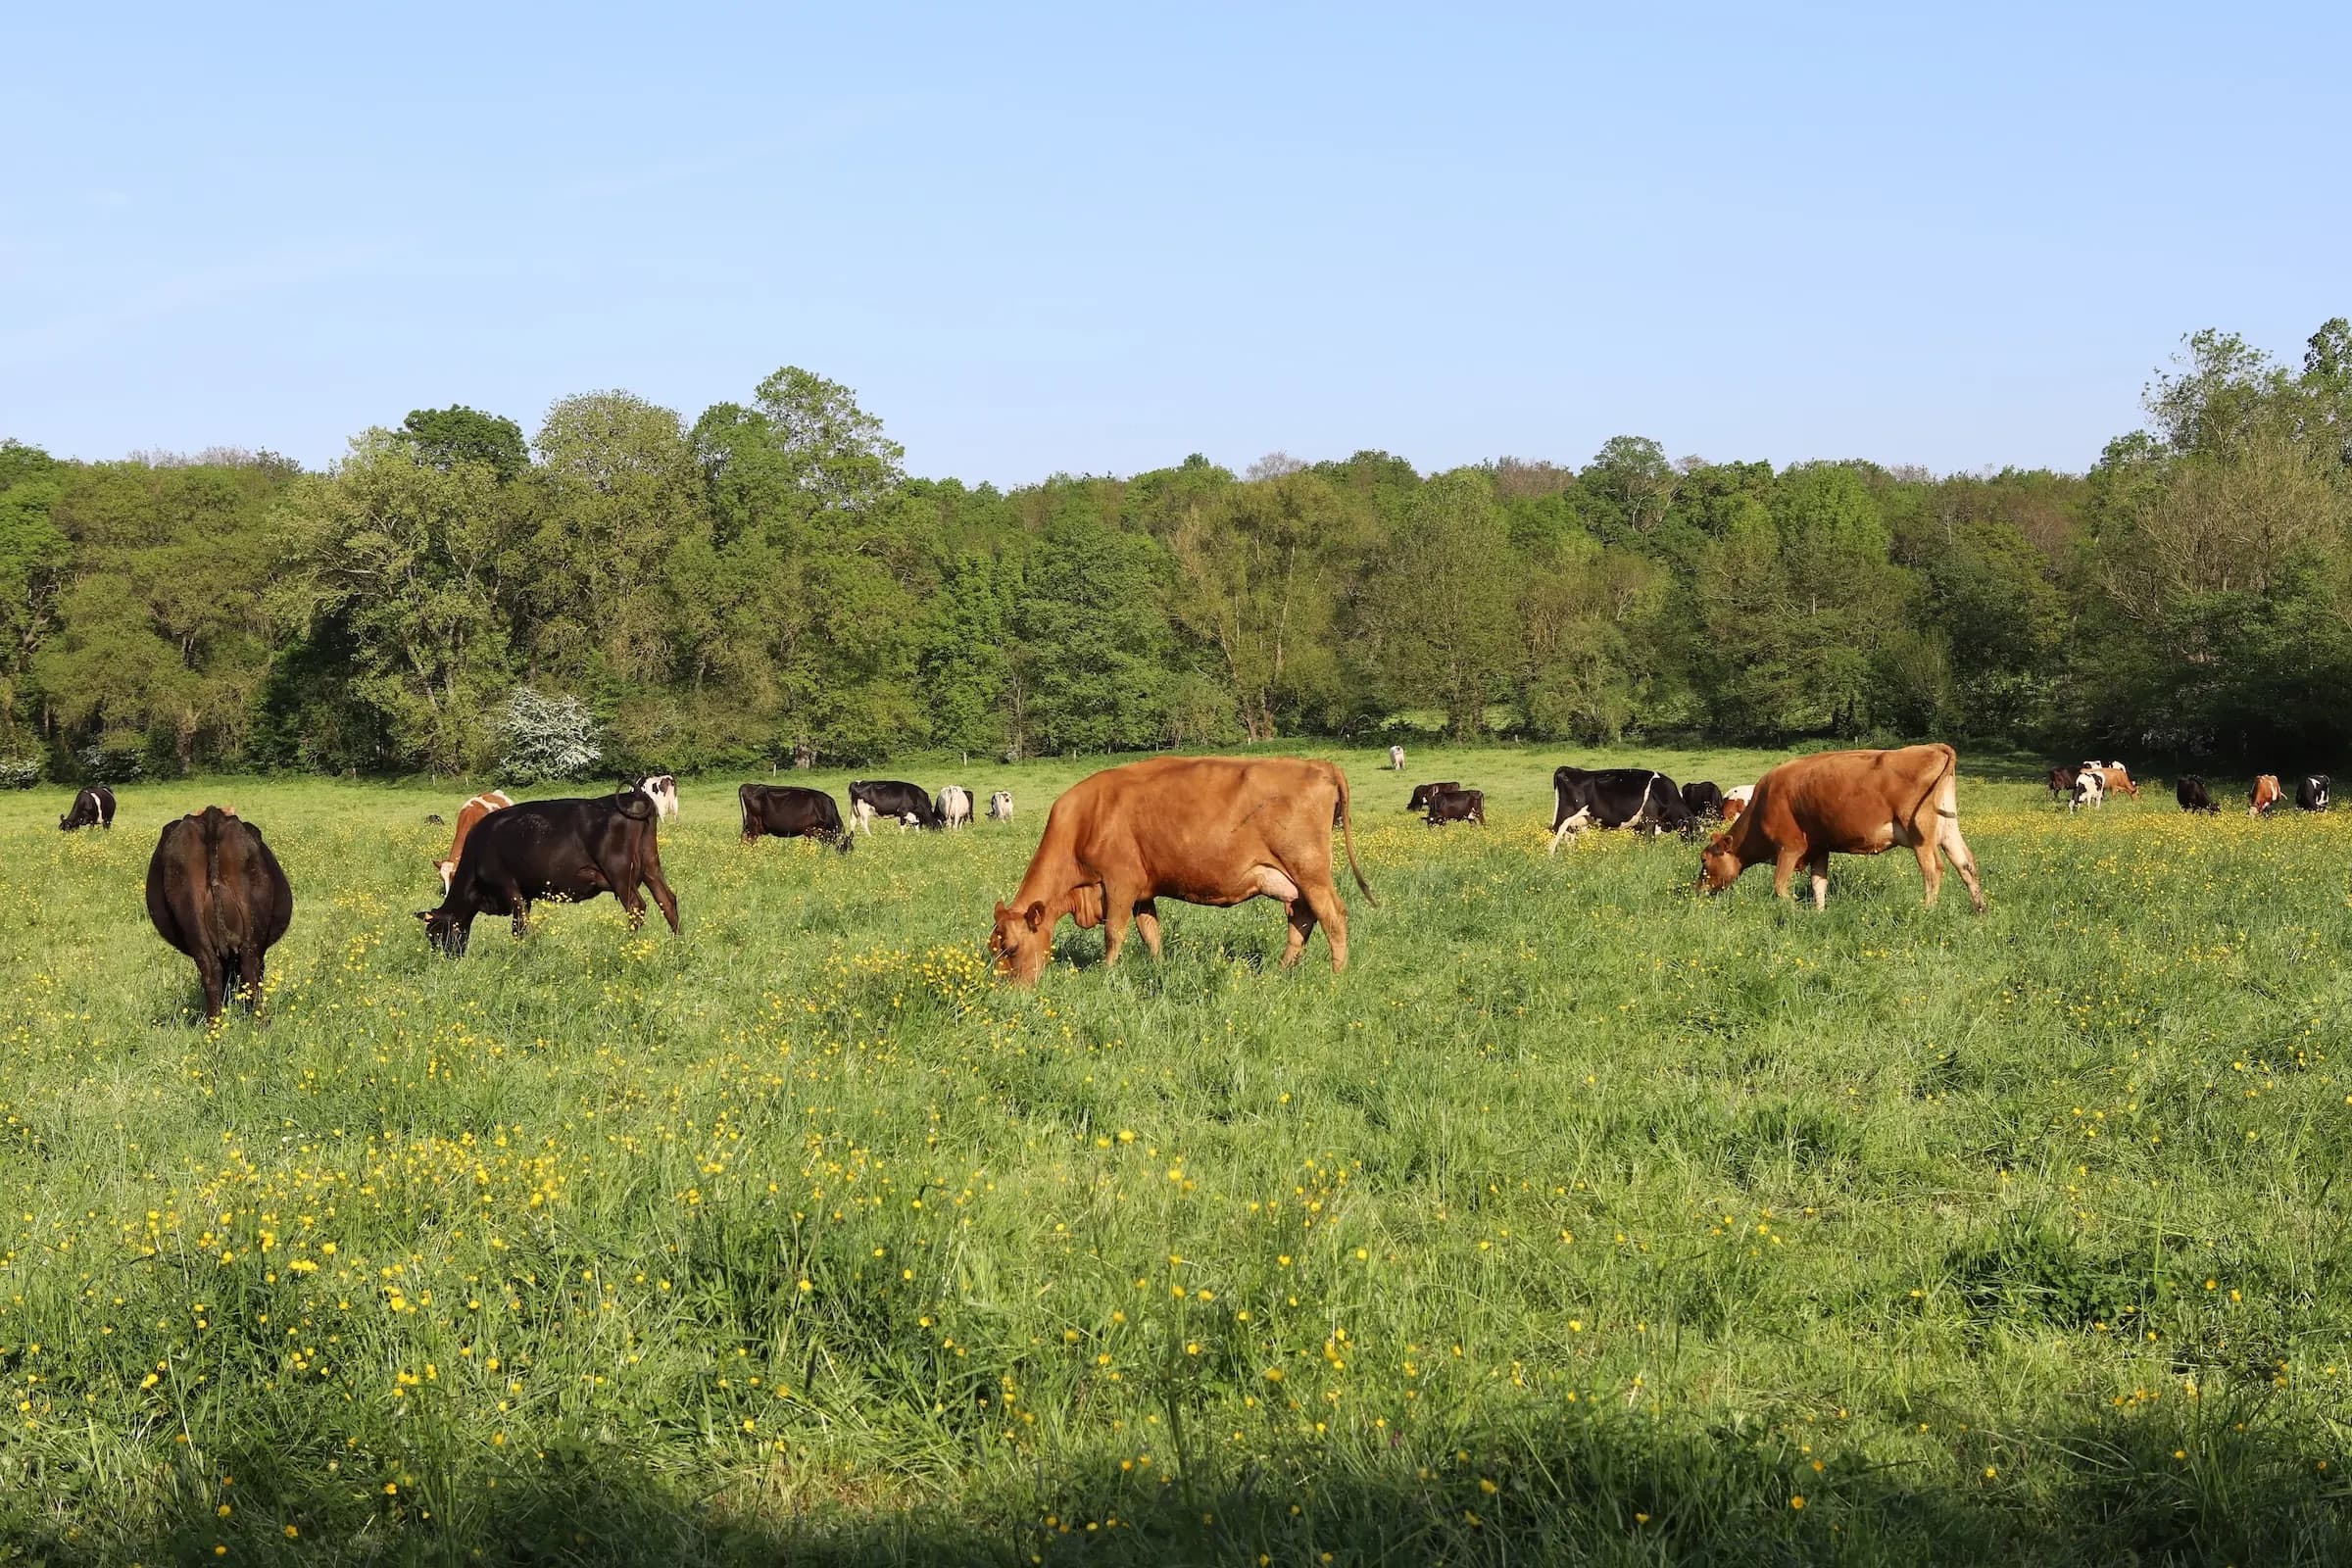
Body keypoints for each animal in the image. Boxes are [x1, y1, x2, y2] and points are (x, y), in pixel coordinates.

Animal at [145, 806, 293, 1023]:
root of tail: (211, 815)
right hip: (251, 929)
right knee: (250, 967)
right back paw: (260, 1022)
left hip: (191, 915)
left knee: (213, 969)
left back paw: (215, 1025)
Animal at [418, 787, 678, 957]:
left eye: (436, 934)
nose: (444, 960)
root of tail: (632, 796)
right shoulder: (525, 895)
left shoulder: (509, 888)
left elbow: (520, 928)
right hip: (651, 866)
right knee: (667, 900)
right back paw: (677, 944)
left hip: (620, 874)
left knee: (636, 907)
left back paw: (629, 948)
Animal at [988, 756, 1374, 985]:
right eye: (993, 949)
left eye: (1012, 948)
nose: (1007, 991)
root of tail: (1319, 764)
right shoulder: (1142, 892)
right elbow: (1150, 933)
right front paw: (1158, 967)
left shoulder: (1119, 883)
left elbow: (1114, 933)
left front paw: (1106, 974)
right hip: (1293, 881)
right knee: (1302, 919)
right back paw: (1279, 973)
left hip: (1310, 871)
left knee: (1332, 916)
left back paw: (1337, 976)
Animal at [1548, 766, 1694, 853]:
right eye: (1696, 832)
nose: (1693, 849)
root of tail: (1568, 769)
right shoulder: (1649, 820)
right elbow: (1649, 841)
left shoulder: (1639, 826)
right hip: (1564, 816)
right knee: (1554, 838)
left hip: (1575, 824)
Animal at [1698, 744, 1984, 912]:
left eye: (1704, 859)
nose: (1696, 889)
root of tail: (1933, 747)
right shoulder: (1818, 848)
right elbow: (1818, 884)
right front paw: (1819, 914)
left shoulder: (1790, 847)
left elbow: (1780, 887)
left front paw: (1796, 911)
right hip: (1948, 829)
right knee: (1965, 863)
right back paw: (1980, 910)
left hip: (1920, 832)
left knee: (1933, 869)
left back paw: (1927, 910)